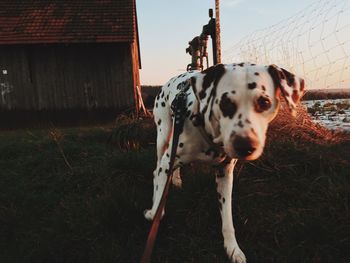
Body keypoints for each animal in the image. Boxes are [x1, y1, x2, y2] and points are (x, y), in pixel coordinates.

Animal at [144, 63, 304, 262]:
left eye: (264, 102)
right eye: (225, 103)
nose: (245, 146)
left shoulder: (225, 176)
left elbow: (227, 218)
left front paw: (233, 249)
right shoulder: (166, 163)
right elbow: (160, 201)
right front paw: (154, 214)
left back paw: (176, 179)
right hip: (163, 134)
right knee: (157, 167)